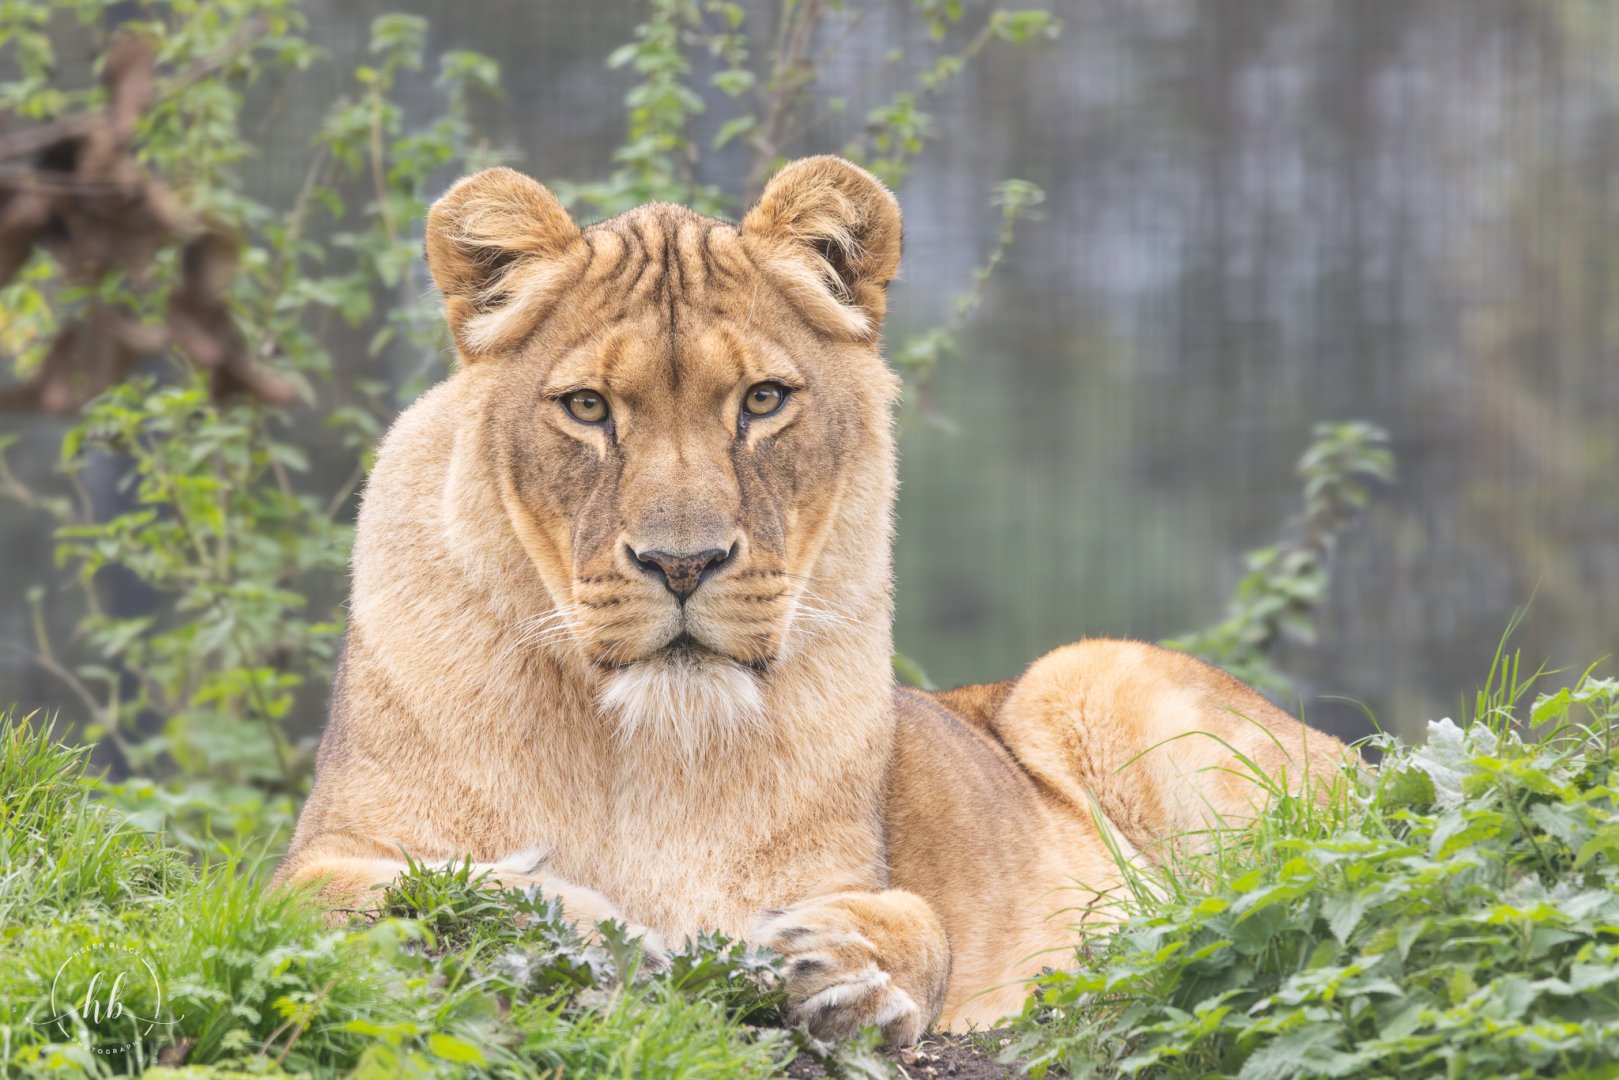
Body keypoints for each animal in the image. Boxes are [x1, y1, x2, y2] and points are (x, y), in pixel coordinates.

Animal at [274, 156, 1348, 1043]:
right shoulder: (312, 864)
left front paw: (844, 971)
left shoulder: (844, 870)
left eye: (761, 401)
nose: (681, 563)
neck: (642, 747)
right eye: (586, 409)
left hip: (1089, 674)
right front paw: (586, 931)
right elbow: (423, 891)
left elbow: (918, 920)